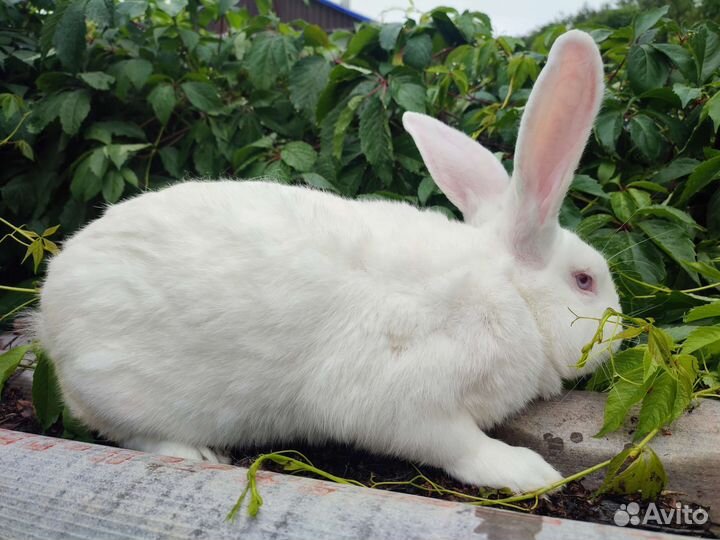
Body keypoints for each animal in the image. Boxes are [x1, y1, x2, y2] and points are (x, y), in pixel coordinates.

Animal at [34, 30, 620, 493]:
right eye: (585, 281)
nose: (621, 334)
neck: (508, 292)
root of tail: (48, 310)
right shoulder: (410, 401)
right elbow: (458, 445)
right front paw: (529, 471)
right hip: (124, 392)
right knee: (132, 433)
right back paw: (197, 455)